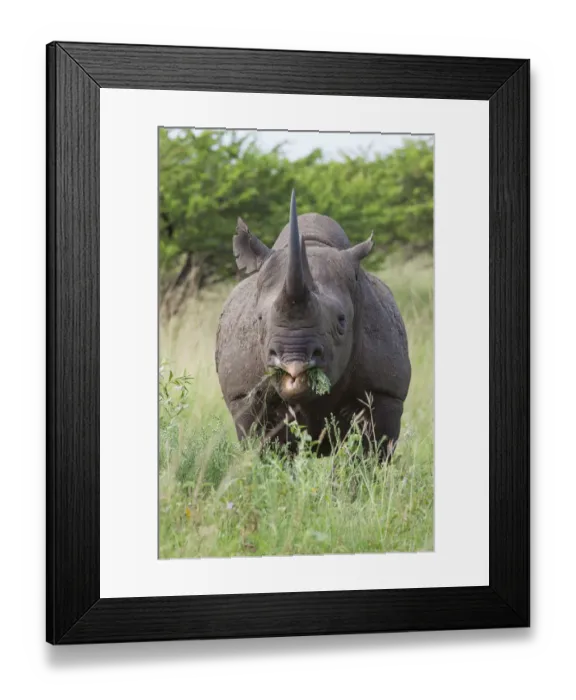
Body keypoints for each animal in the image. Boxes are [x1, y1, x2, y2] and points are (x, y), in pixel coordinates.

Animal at [215, 190, 411, 457]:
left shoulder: (384, 391)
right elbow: (265, 447)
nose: (293, 364)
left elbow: (369, 452)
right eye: (259, 320)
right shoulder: (244, 394)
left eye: (342, 321)